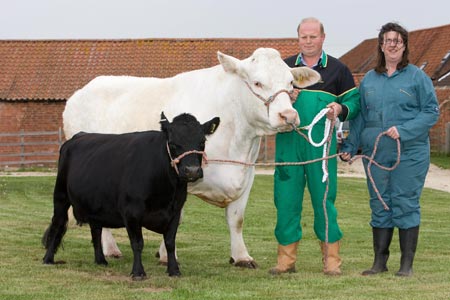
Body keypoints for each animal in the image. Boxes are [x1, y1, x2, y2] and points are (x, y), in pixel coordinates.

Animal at [63, 47, 320, 268]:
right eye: (258, 82)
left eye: (290, 83)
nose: (288, 116)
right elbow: (176, 219)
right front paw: (168, 255)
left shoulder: (247, 174)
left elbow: (236, 219)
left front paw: (241, 257)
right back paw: (110, 249)